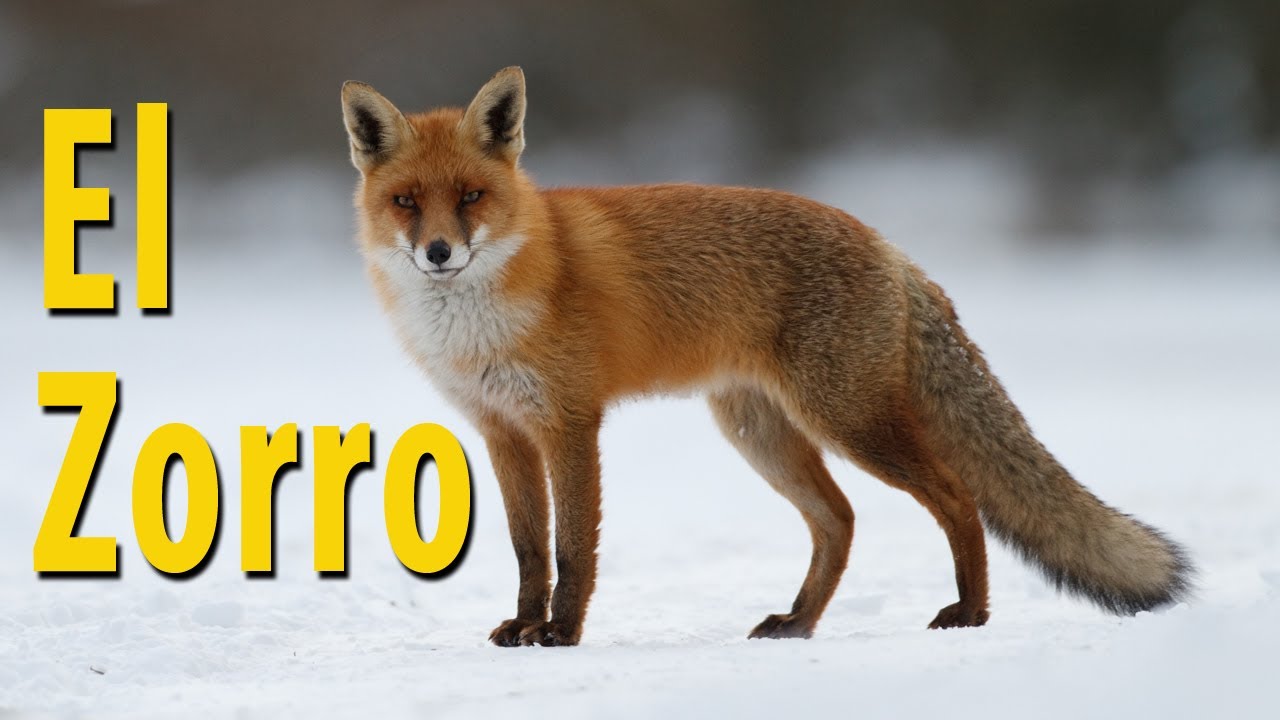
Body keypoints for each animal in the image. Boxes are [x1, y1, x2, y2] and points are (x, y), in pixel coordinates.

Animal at [340, 67, 1192, 647]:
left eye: (472, 197)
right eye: (407, 202)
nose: (441, 253)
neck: (479, 322)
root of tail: (887, 245)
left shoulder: (571, 423)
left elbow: (574, 549)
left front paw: (561, 634)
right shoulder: (502, 431)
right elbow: (528, 550)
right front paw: (524, 628)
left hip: (849, 421)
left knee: (956, 498)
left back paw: (971, 613)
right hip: (761, 433)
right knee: (840, 520)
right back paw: (800, 622)